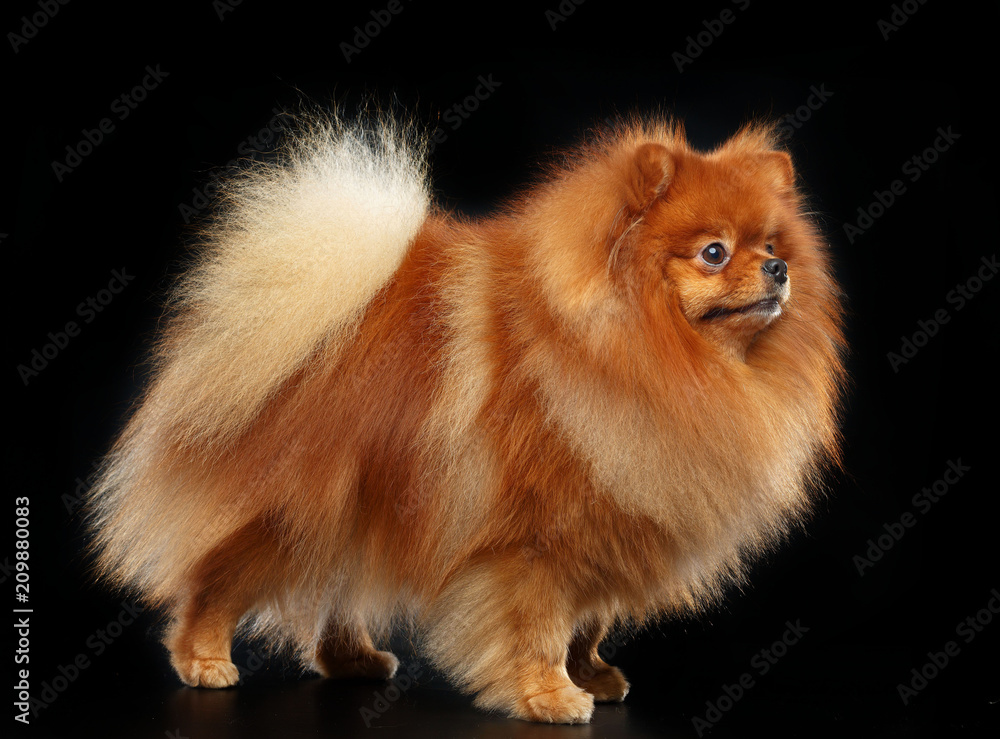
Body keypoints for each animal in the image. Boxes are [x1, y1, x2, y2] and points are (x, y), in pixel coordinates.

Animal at [90, 110, 848, 724]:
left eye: (772, 245)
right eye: (713, 252)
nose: (779, 270)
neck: (635, 351)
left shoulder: (608, 514)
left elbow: (587, 621)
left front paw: (594, 675)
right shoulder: (536, 542)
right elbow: (539, 625)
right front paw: (550, 695)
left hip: (358, 505)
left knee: (336, 584)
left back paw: (353, 659)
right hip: (293, 507)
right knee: (216, 577)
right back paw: (203, 658)